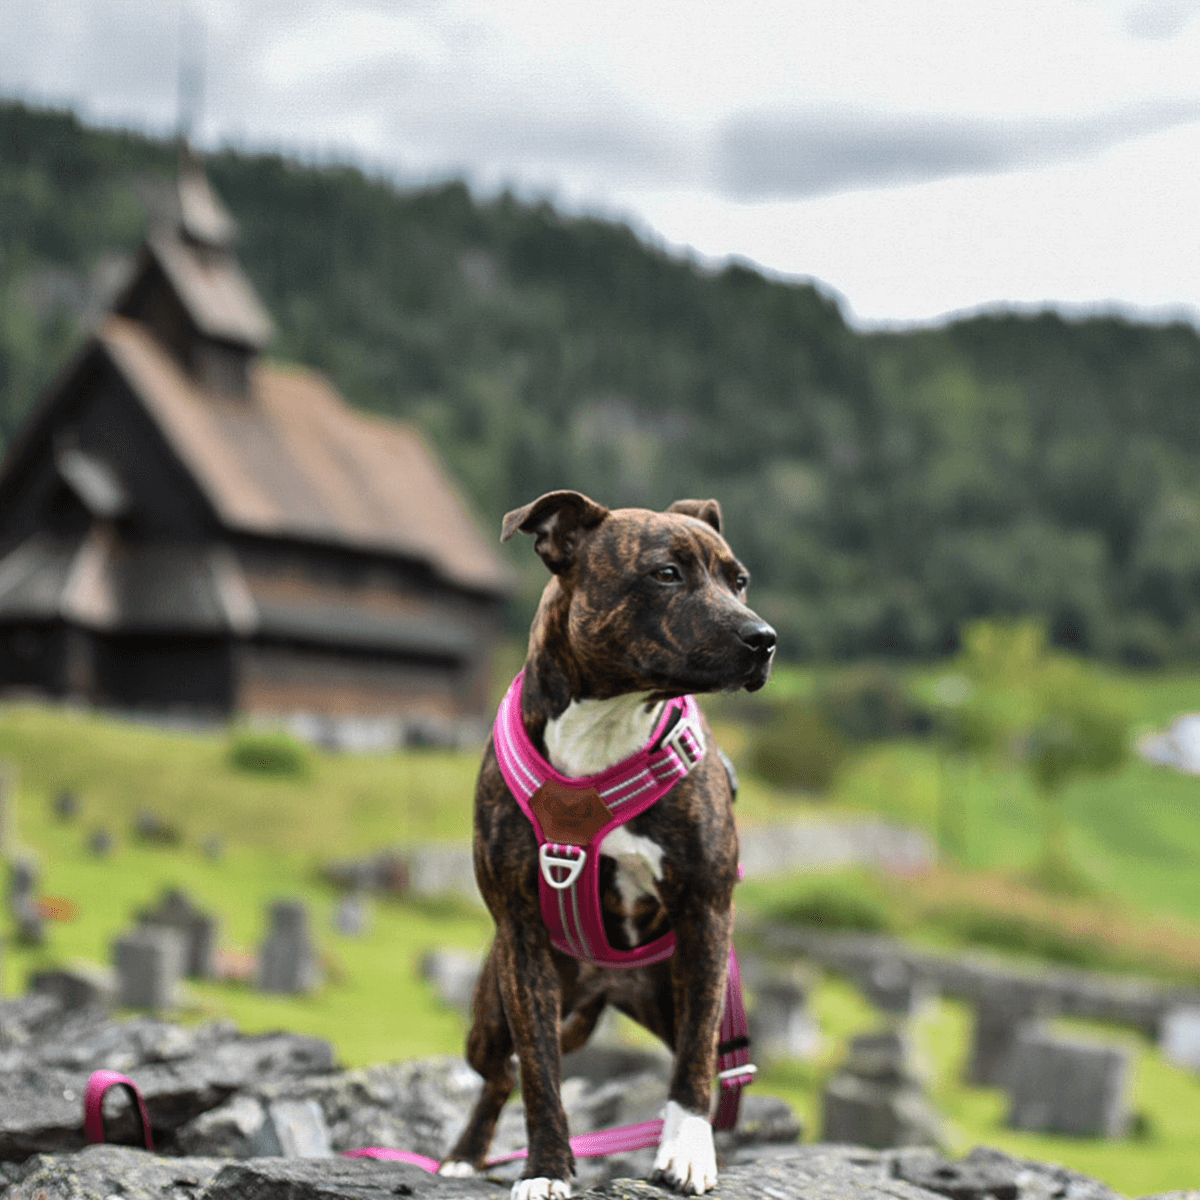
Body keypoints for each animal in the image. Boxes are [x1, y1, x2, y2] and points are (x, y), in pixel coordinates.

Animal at [436, 489, 772, 1200]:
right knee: (499, 1072)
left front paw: (688, 1152)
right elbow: (540, 1075)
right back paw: (464, 1154)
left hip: (673, 995)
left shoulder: (705, 915)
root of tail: (608, 984)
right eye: (665, 573)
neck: (608, 720)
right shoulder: (522, 935)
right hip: (492, 1009)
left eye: (738, 581)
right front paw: (546, 1168)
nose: (764, 638)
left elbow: (695, 1062)